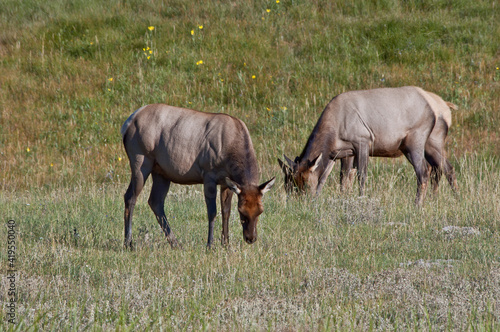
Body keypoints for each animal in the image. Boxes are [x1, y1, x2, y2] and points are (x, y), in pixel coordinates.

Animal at [122, 105, 276, 248]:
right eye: (241, 211)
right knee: (130, 197)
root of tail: (127, 124)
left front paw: (226, 244)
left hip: (161, 172)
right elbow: (212, 212)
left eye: (260, 211)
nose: (250, 238)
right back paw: (128, 243)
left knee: (155, 202)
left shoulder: (226, 182)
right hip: (141, 160)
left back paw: (175, 243)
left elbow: (225, 211)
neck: (231, 151)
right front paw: (210, 245)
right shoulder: (208, 175)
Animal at [280, 85, 458, 205]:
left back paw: (418, 204)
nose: (299, 203)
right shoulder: (339, 153)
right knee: (445, 168)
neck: (333, 129)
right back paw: (451, 198)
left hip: (416, 140)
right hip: (429, 143)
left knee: (424, 171)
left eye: (305, 183)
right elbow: (330, 177)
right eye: (289, 184)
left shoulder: (362, 141)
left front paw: (360, 198)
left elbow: (361, 175)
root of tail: (439, 107)